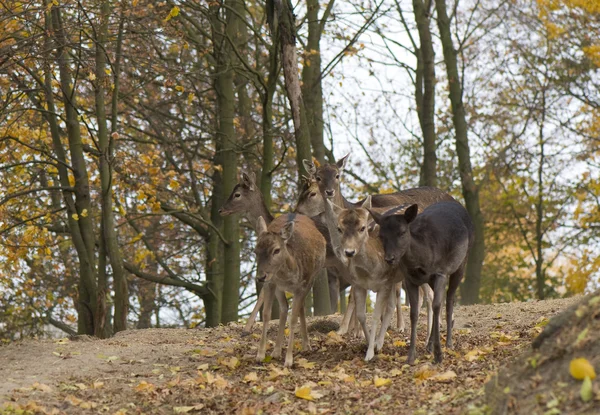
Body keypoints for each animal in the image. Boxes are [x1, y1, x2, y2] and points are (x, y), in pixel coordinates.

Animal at [255, 214, 326, 368]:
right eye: (255, 251)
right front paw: (260, 355)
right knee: (284, 307)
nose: (260, 277)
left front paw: (289, 360)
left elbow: (293, 319)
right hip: (278, 287)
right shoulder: (271, 283)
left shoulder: (302, 285)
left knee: (301, 307)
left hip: (312, 278)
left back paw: (306, 345)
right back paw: (276, 351)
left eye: (276, 250)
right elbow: (266, 314)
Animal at [370, 202, 474, 364]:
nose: (389, 258)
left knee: (449, 298)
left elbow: (436, 305)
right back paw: (429, 345)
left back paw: (448, 343)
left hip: (462, 262)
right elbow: (414, 313)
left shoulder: (441, 273)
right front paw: (411, 356)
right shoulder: (410, 280)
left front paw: (439, 355)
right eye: (381, 235)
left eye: (402, 232)